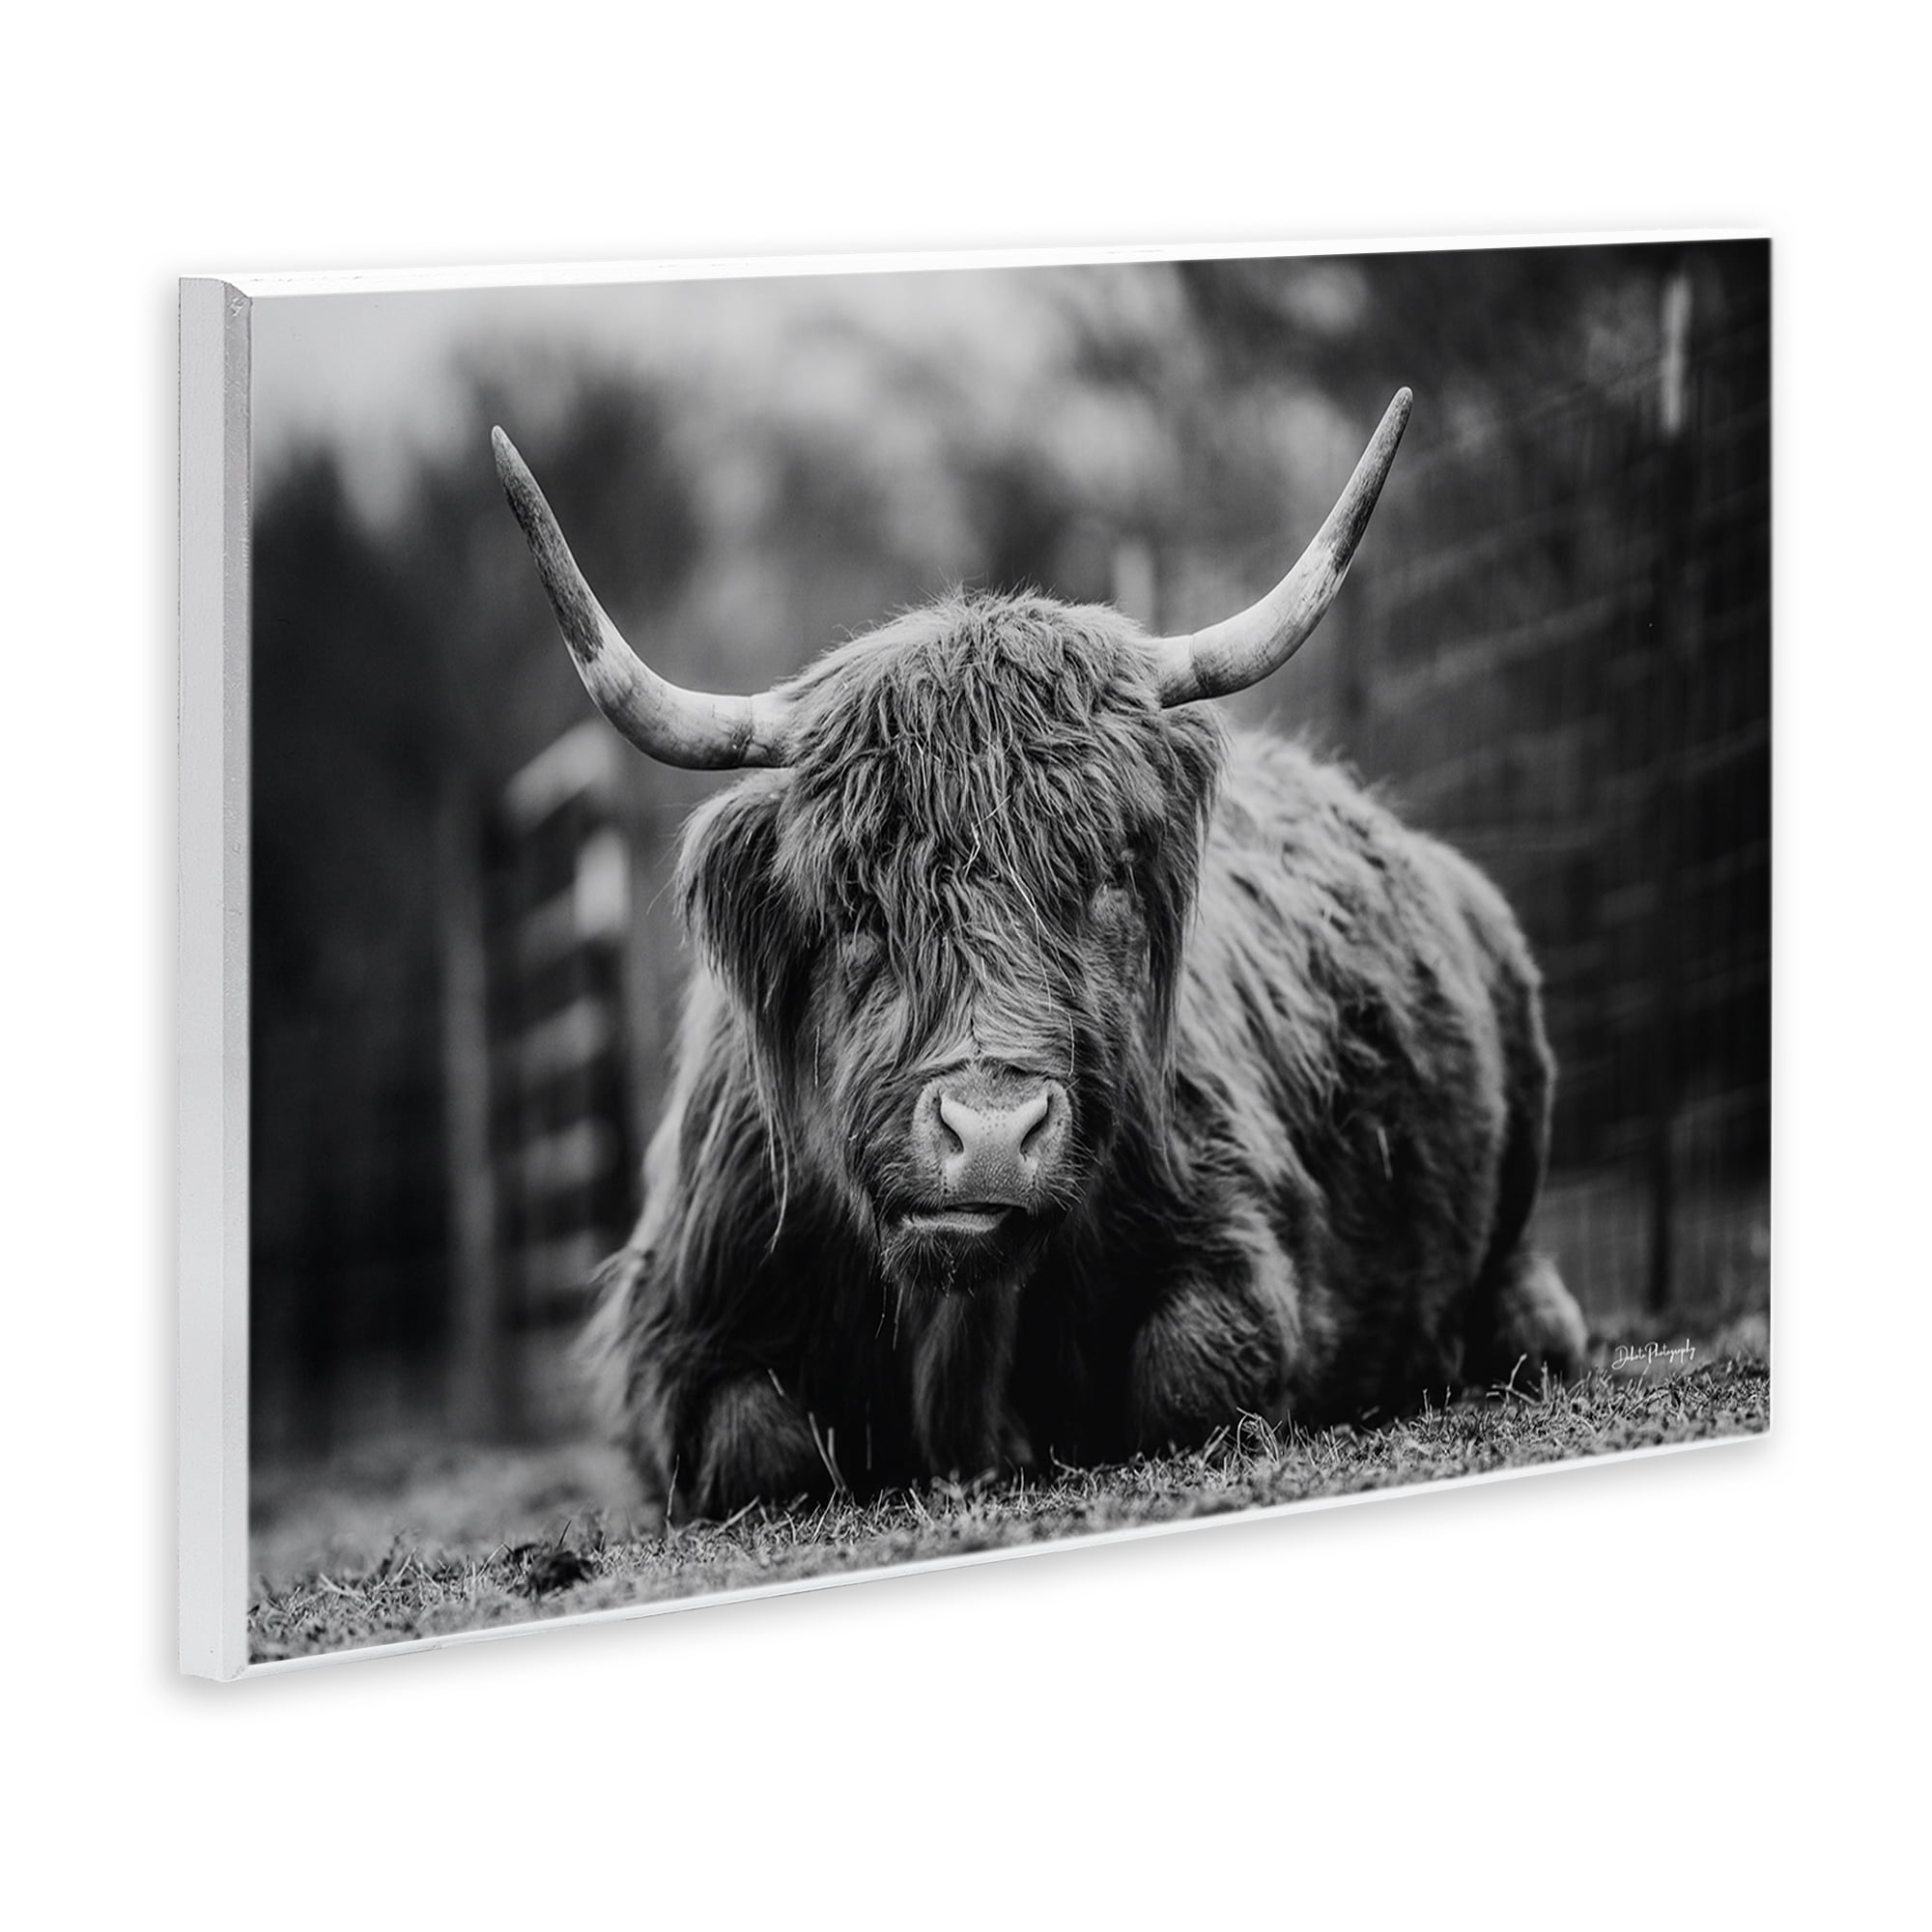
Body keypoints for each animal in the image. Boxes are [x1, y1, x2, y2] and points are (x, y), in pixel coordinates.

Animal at [491, 389, 1588, 1529]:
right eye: (854, 903)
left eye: (1103, 870)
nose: (988, 1134)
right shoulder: (678, 1330)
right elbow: (757, 1445)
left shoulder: (1237, 1247)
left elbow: (1192, 1372)